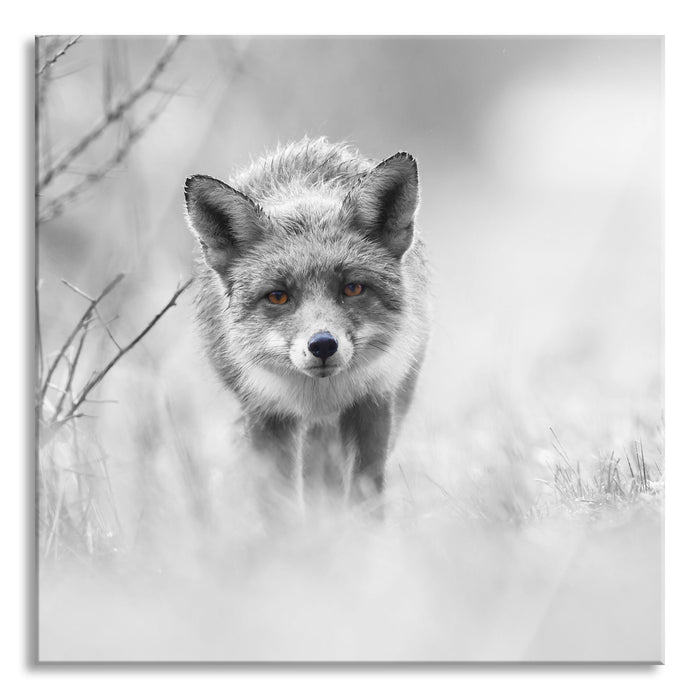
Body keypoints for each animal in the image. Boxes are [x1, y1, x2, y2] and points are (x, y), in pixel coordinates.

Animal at [184, 137, 430, 510]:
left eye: (352, 288)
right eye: (277, 296)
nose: (323, 345)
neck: (320, 396)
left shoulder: (373, 402)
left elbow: (364, 496)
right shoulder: (265, 413)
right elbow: (279, 506)